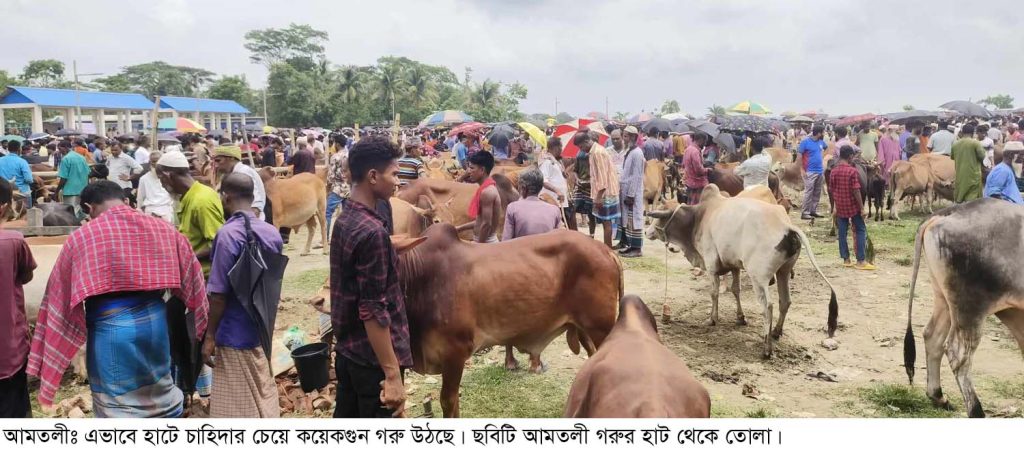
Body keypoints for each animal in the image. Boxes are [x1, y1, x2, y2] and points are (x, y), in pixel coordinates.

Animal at [395, 224, 618, 415]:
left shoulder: (454, 354)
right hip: (584, 329)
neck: (420, 280)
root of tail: (604, 249)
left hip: (601, 327)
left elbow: (448, 402)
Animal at [647, 184, 839, 358]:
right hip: (783, 272)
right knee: (785, 301)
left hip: (759, 278)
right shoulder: (734, 265)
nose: (647, 232)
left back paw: (766, 348)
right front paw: (740, 318)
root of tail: (787, 226)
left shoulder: (711, 264)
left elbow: (714, 293)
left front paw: (712, 319)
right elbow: (735, 290)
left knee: (768, 307)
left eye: (660, 216)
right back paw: (776, 332)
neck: (699, 216)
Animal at [905, 197, 1024, 415]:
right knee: (958, 353)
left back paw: (938, 397)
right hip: (970, 307)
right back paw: (976, 411)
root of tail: (945, 214)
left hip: (945, 300)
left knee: (932, 336)